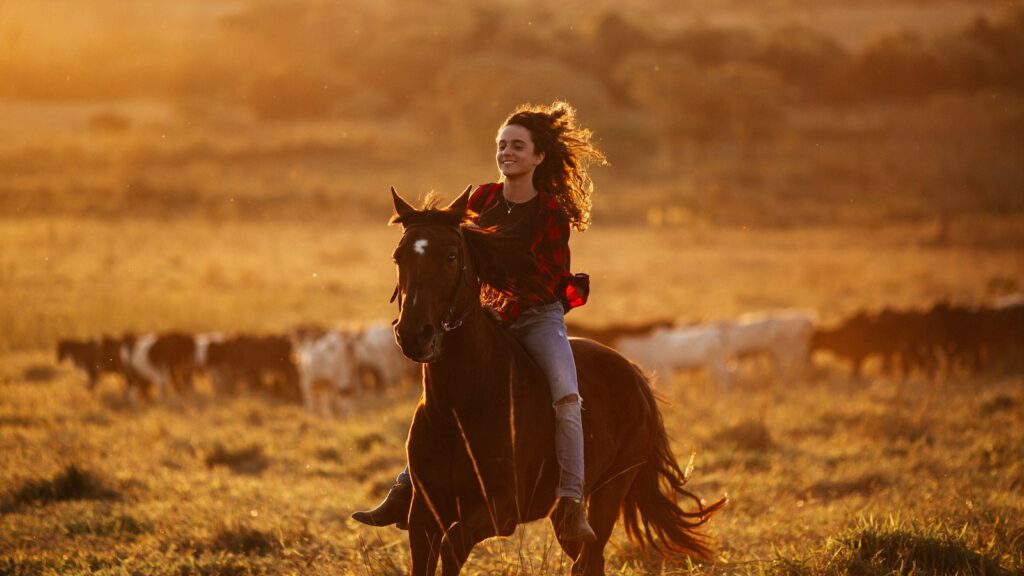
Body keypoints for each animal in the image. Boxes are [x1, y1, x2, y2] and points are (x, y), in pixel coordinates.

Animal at [387, 186, 726, 576]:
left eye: (451, 256)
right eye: (398, 256)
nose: (414, 335)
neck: (463, 405)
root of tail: (636, 377)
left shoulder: (501, 509)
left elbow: (453, 545)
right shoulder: (423, 513)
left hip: (610, 491)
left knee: (588, 558)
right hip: (563, 515)